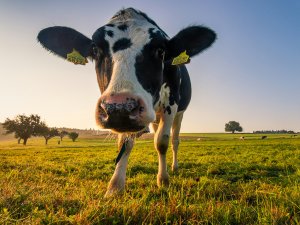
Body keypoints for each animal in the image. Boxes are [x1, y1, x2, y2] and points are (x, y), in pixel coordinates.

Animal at [37, 7, 217, 197]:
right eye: (95, 50)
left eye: (160, 51)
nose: (119, 107)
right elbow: (125, 143)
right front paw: (115, 186)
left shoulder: (171, 105)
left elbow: (161, 142)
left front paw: (163, 180)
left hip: (179, 114)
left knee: (174, 140)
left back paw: (174, 167)